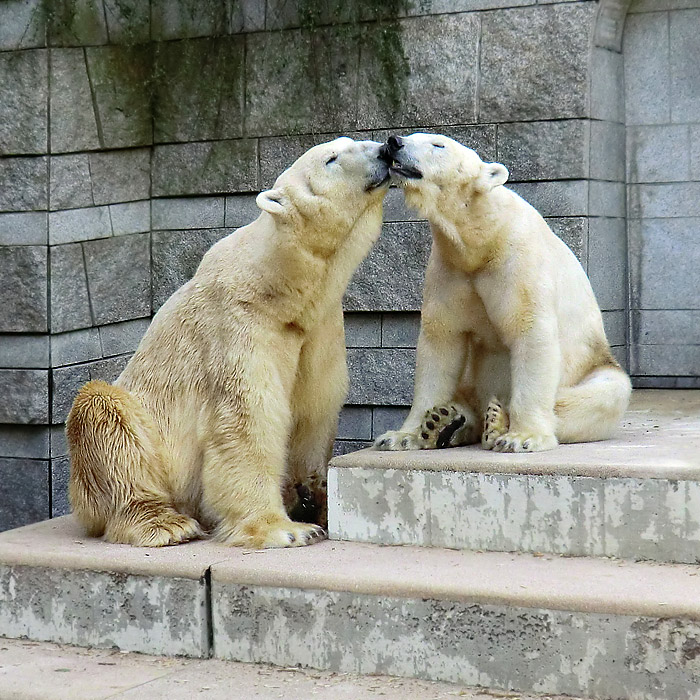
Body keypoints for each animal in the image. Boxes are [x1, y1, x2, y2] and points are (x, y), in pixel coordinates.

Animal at [67, 137, 392, 548]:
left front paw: (315, 500)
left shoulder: (320, 327)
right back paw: (166, 523)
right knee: (105, 416)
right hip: (137, 431)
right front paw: (286, 529)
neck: (279, 288)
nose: (386, 149)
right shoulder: (237, 325)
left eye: (354, 143)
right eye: (332, 158)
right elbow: (247, 419)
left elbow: (315, 408)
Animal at [374, 132, 632, 454]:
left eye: (438, 145)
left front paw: (522, 438)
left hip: (597, 366)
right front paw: (400, 436)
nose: (394, 141)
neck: (481, 237)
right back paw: (444, 421)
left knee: (599, 395)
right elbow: (440, 343)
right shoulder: (450, 270)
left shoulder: (517, 261)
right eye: (412, 135)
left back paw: (496, 419)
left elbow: (530, 333)